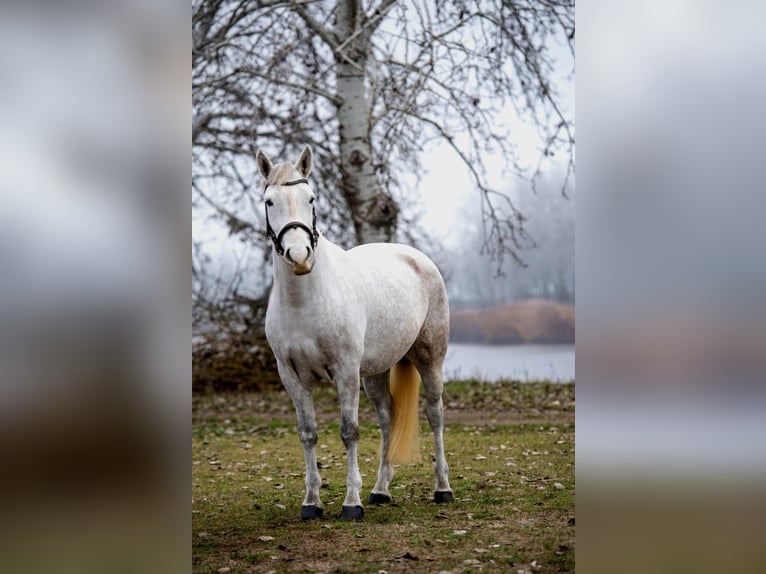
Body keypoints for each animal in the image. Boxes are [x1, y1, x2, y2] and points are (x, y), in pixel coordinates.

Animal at [257, 145, 453, 521]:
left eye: (310, 198)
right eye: (269, 201)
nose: (299, 257)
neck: (306, 299)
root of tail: (417, 258)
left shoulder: (345, 371)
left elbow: (349, 432)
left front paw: (351, 503)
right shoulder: (291, 377)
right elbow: (308, 434)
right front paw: (311, 503)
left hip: (429, 358)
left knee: (435, 414)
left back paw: (442, 488)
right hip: (375, 372)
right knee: (388, 417)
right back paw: (380, 491)